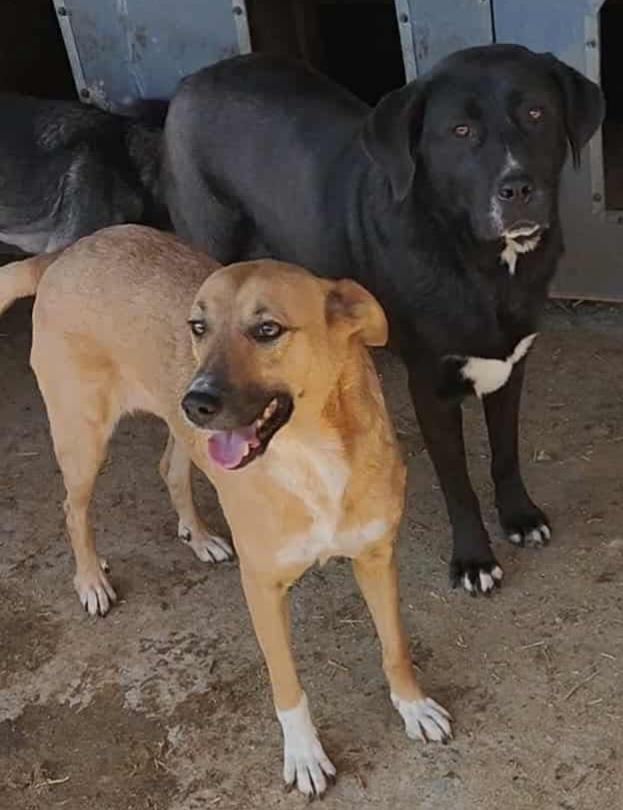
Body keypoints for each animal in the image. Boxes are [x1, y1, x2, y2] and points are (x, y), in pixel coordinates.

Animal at [0, 224, 451, 795]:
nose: (196, 400)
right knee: (73, 509)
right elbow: (287, 685)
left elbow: (395, 645)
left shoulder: (376, 557)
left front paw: (413, 707)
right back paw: (91, 581)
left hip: (173, 434)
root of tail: (68, 250)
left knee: (170, 468)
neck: (310, 452)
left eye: (267, 330)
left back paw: (198, 536)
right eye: (199, 327)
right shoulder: (262, 588)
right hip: (82, 440)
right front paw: (304, 755)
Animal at [162, 44, 604, 595]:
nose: (518, 188)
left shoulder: (510, 364)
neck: (477, 262)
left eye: (536, 113)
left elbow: (505, 452)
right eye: (460, 131)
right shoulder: (431, 388)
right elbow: (457, 481)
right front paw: (474, 558)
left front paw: (520, 517)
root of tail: (197, 76)